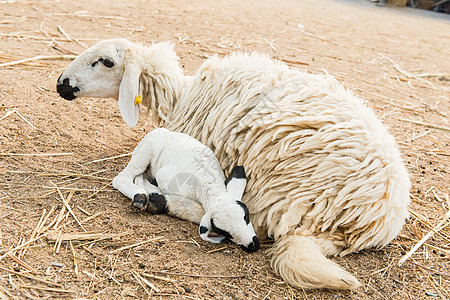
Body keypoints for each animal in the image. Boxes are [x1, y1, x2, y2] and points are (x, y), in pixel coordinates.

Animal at [110, 127, 260, 253]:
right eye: (224, 232)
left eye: (246, 216)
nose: (253, 245)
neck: (209, 185)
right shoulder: (165, 178)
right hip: (146, 151)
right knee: (124, 177)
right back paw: (140, 196)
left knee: (139, 176)